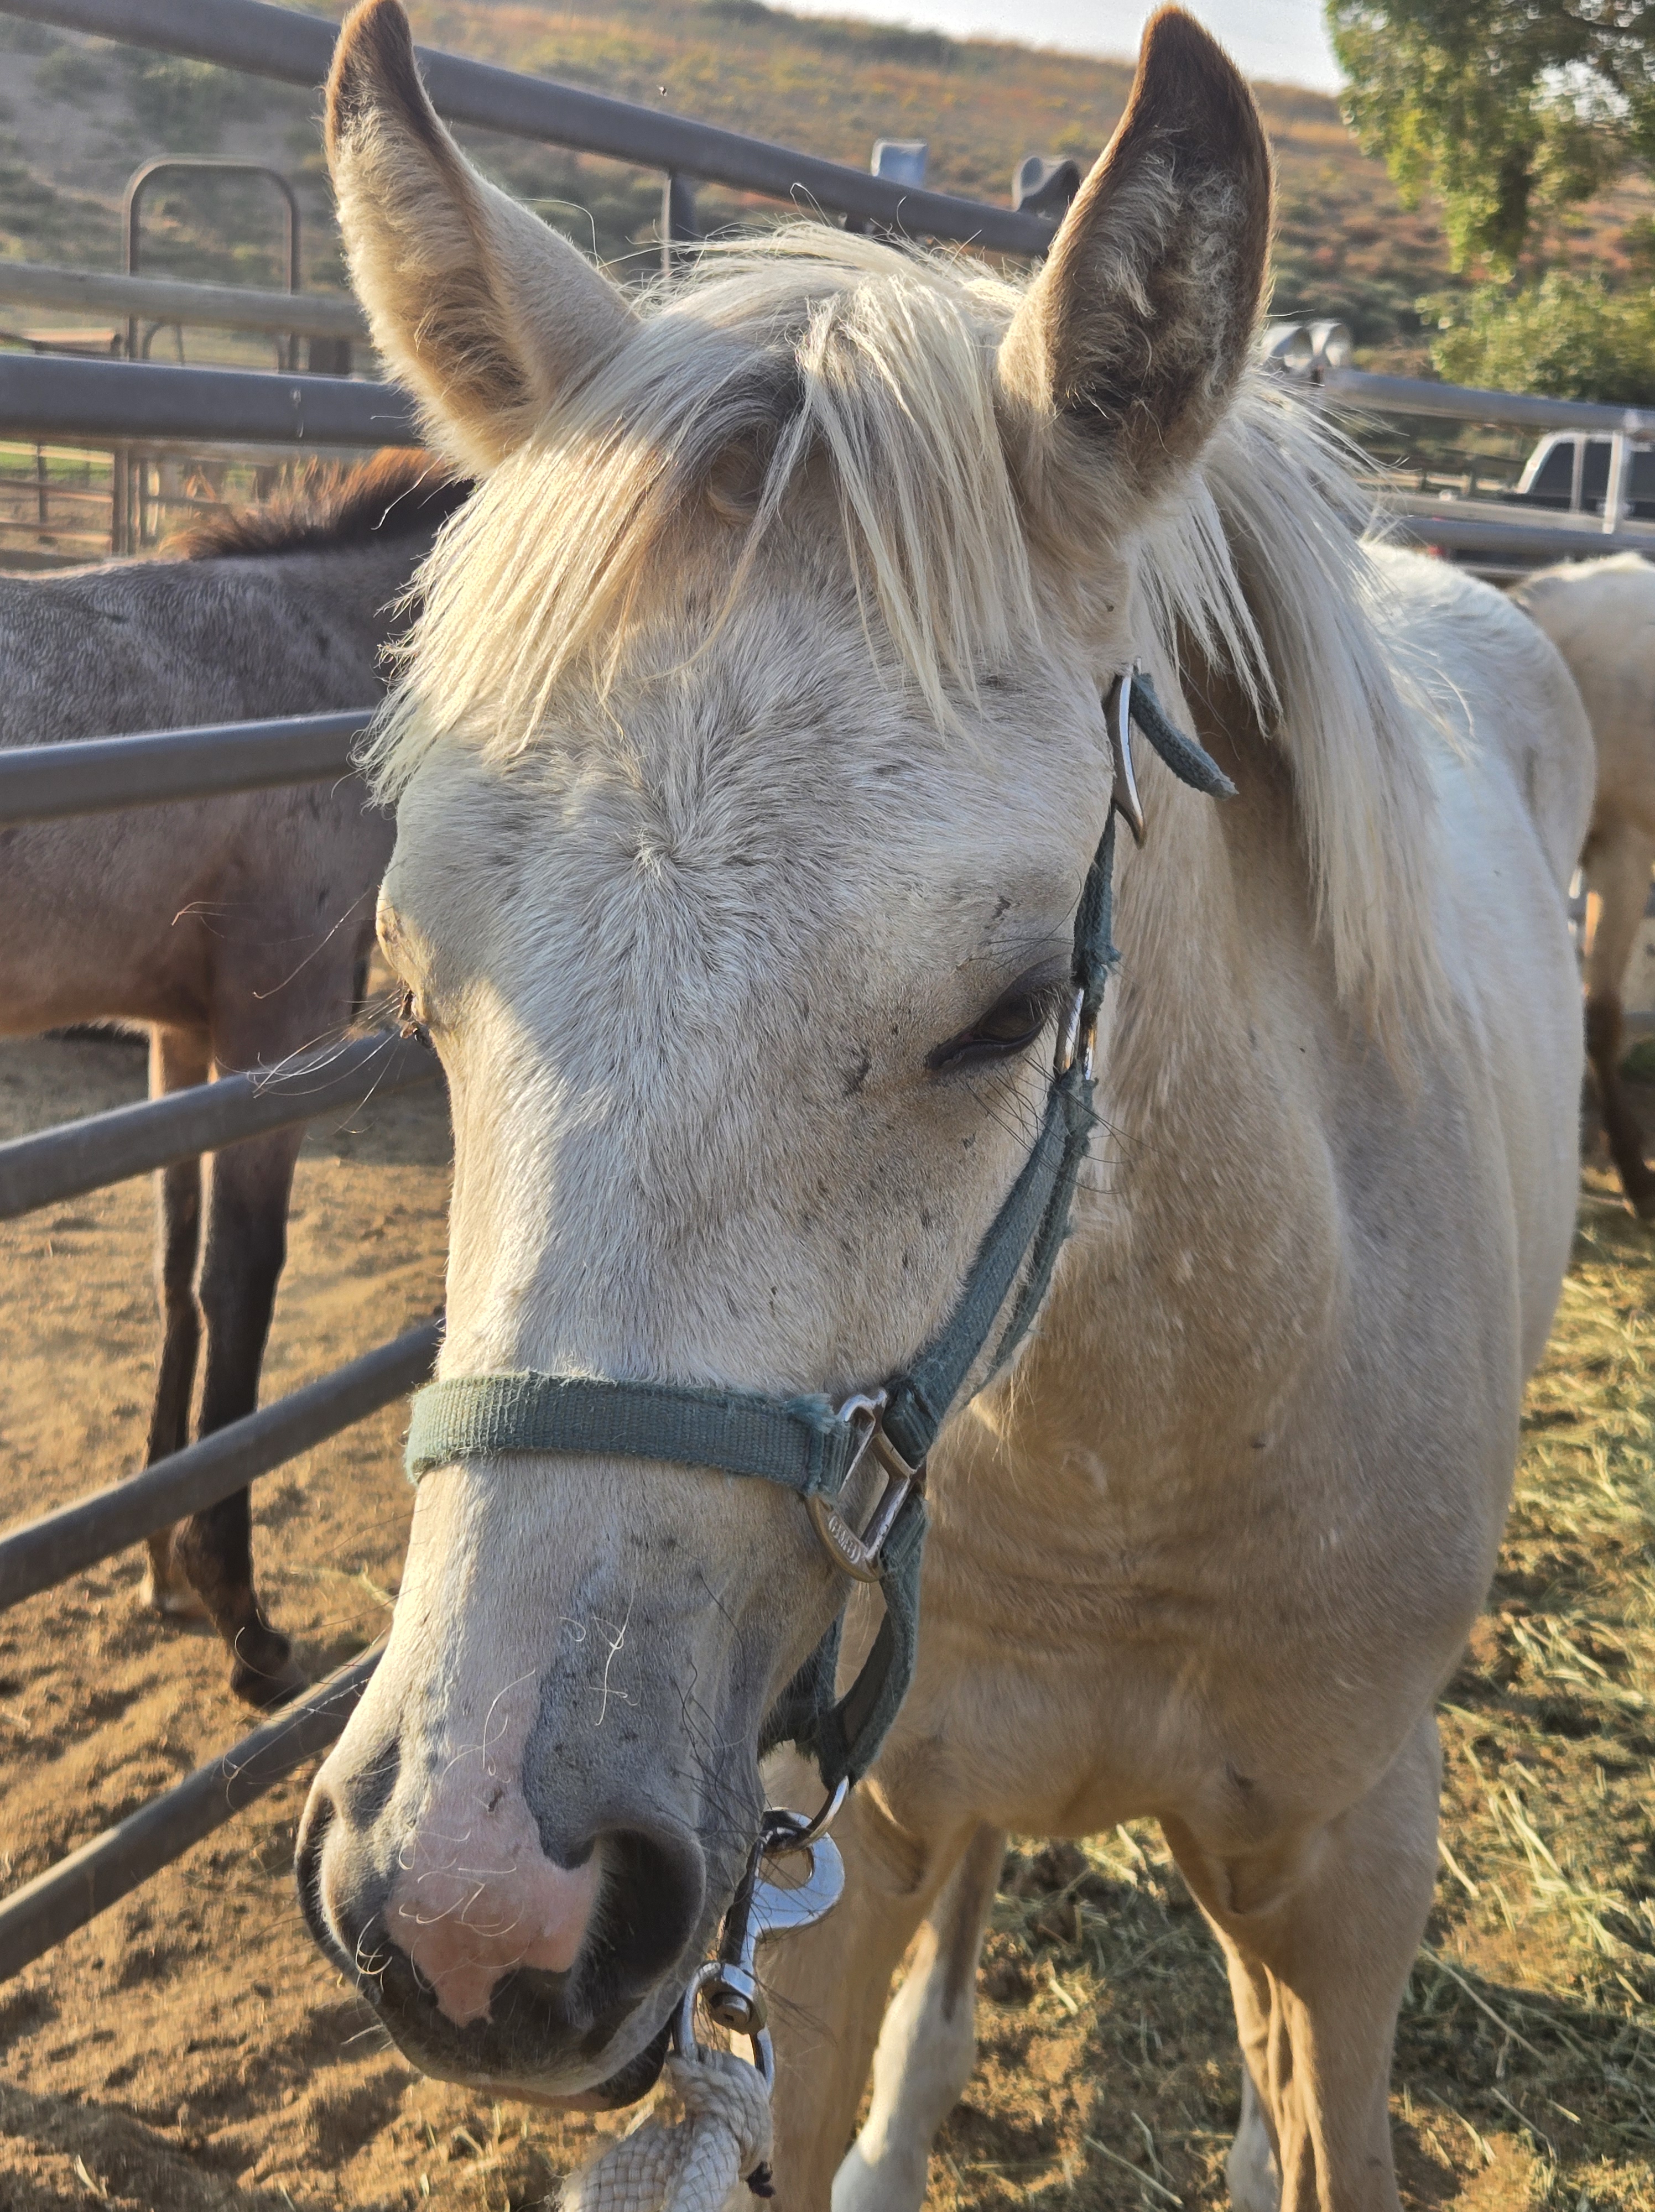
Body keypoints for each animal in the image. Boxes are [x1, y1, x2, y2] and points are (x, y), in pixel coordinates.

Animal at [0, 451, 467, 1705]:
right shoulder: (275, 1027)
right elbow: (240, 1281)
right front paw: (240, 1611)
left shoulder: (182, 1037)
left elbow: (172, 1273)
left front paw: (161, 1562)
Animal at [296, 4, 1592, 2204]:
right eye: (413, 978)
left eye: (1006, 1013)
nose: (478, 1906)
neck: (1154, 1446)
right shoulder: (831, 1880)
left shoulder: (1352, 1890)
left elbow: (1319, 2089)